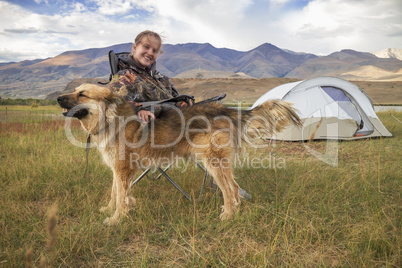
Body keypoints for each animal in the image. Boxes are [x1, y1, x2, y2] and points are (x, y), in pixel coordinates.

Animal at [57, 83, 302, 224]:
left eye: (82, 94)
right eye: (74, 91)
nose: (58, 98)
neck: (110, 118)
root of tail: (226, 109)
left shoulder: (123, 168)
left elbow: (120, 198)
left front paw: (116, 219)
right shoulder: (118, 170)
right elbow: (114, 193)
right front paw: (110, 209)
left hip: (213, 162)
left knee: (230, 188)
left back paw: (228, 216)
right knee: (233, 188)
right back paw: (230, 209)